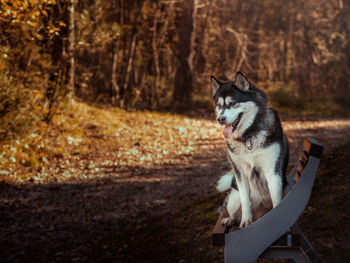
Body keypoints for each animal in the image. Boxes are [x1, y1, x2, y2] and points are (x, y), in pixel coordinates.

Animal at [212, 72, 288, 229]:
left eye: (232, 103)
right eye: (219, 105)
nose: (220, 119)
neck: (248, 136)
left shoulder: (272, 172)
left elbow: (276, 200)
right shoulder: (240, 172)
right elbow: (245, 200)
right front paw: (246, 220)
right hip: (233, 198)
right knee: (230, 209)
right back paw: (230, 219)